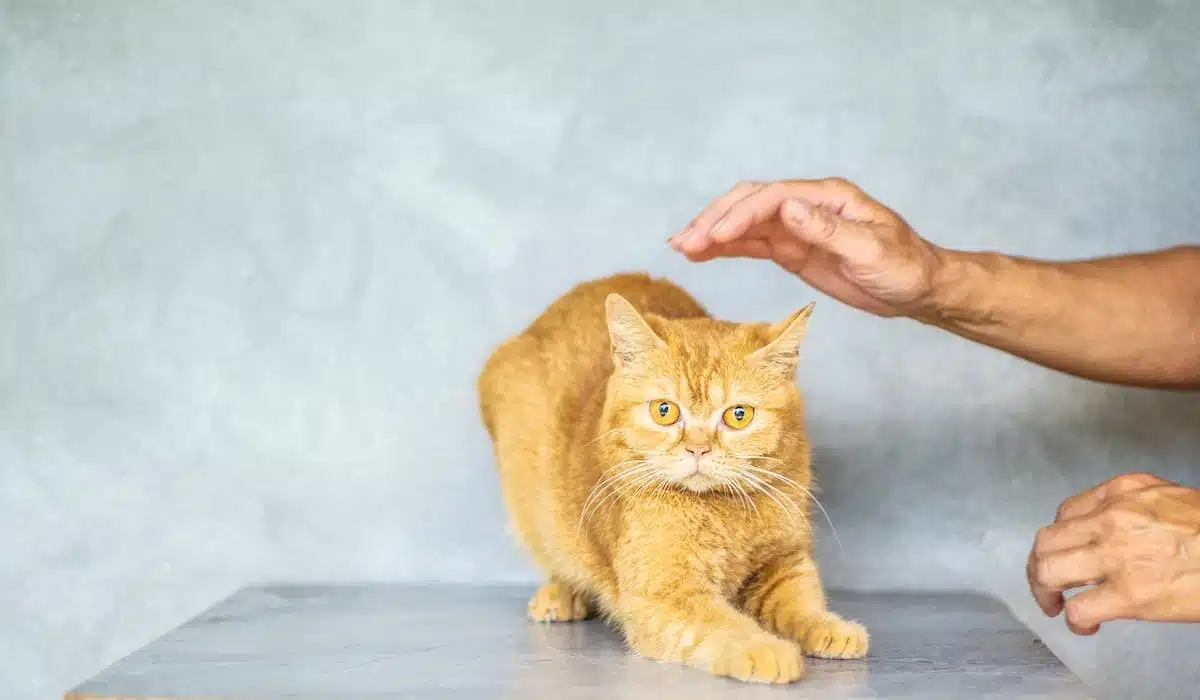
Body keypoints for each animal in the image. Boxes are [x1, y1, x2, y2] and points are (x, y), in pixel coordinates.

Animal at [475, 272, 864, 686]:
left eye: (738, 415)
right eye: (665, 411)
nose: (698, 449)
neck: (720, 512)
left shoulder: (783, 562)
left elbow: (802, 603)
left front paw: (832, 628)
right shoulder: (666, 593)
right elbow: (722, 625)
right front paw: (765, 649)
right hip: (533, 503)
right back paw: (562, 595)